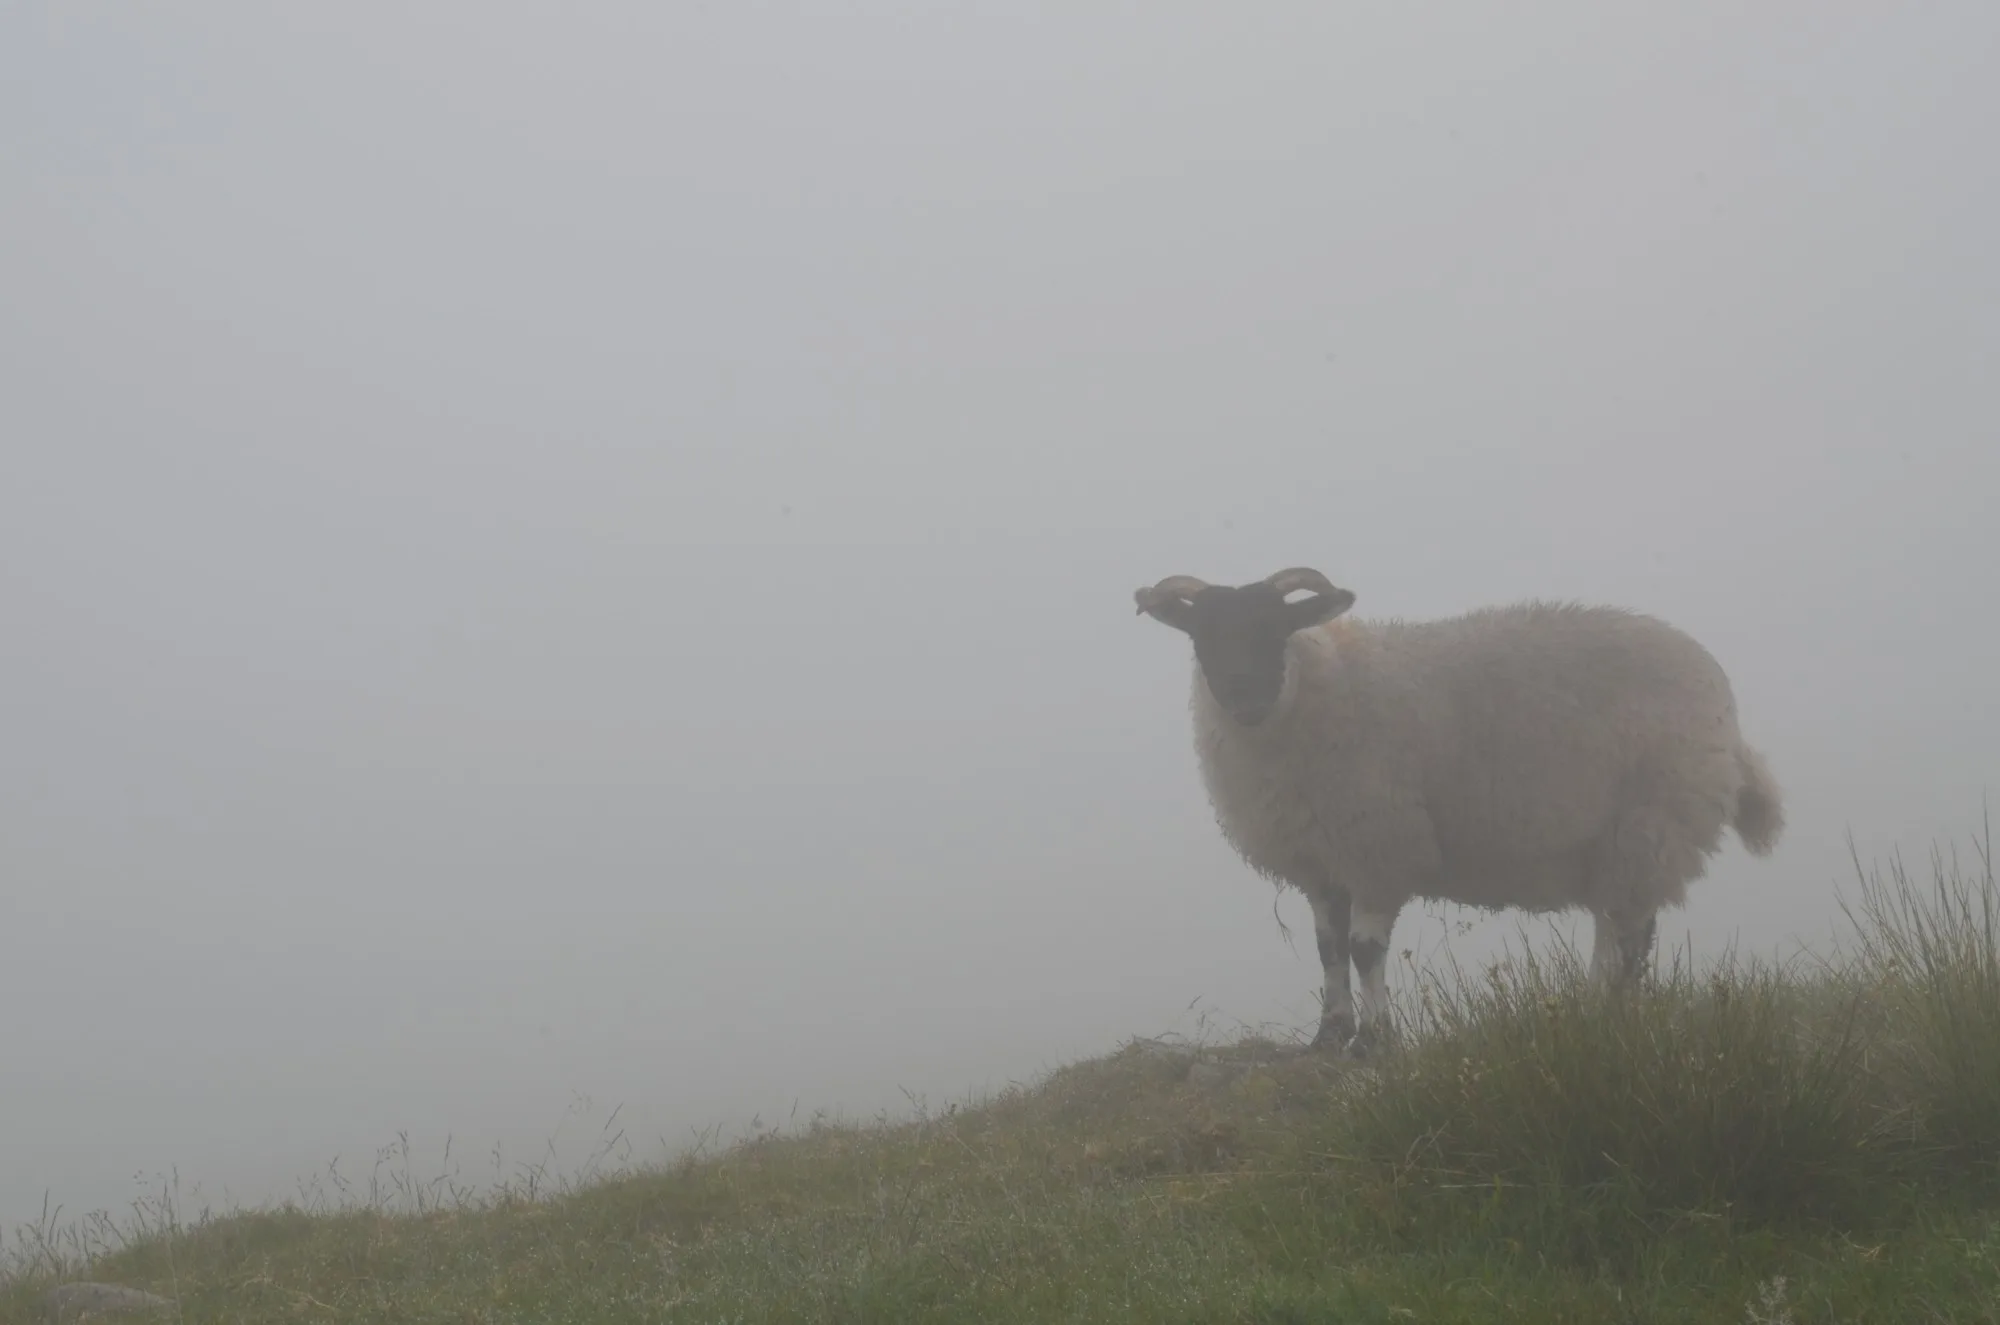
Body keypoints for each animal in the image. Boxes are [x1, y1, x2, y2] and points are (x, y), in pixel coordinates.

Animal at [1133, 567, 1785, 1056]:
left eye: (1277, 629)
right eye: (1201, 637)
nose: (1245, 700)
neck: (1317, 689)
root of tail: (1723, 706)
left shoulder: (1379, 848)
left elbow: (1364, 949)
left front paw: (1376, 1042)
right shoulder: (1321, 860)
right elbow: (1329, 948)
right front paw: (1329, 1037)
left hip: (1651, 826)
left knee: (1632, 936)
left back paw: (1609, 1015)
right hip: (1614, 846)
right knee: (1615, 927)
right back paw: (1592, 1008)